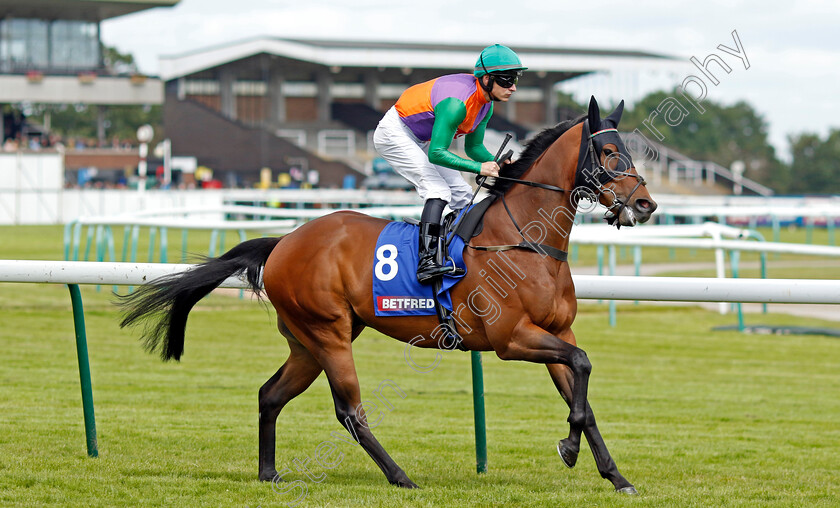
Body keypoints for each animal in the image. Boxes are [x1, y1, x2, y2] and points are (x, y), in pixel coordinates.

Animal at [118, 97, 656, 494]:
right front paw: (569, 449)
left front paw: (615, 475)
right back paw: (400, 476)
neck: (525, 238)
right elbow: (582, 365)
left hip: (306, 342)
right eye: (610, 155)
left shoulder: (555, 332)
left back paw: (269, 473)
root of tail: (284, 241)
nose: (646, 204)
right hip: (329, 333)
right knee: (350, 411)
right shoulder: (511, 338)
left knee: (270, 395)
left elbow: (583, 390)